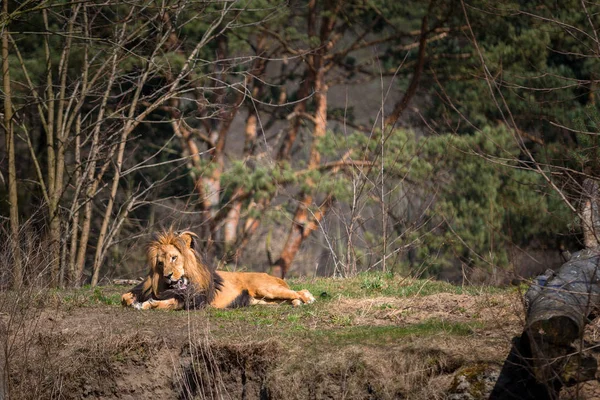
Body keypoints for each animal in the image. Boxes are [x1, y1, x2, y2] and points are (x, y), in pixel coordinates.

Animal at [120, 230, 316, 310]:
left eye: (174, 257)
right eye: (160, 263)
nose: (168, 276)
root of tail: (275, 277)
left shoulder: (197, 300)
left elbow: (169, 303)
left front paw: (149, 304)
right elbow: (125, 297)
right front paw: (137, 302)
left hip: (266, 288)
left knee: (301, 291)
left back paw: (308, 299)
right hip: (266, 300)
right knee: (291, 296)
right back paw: (297, 302)